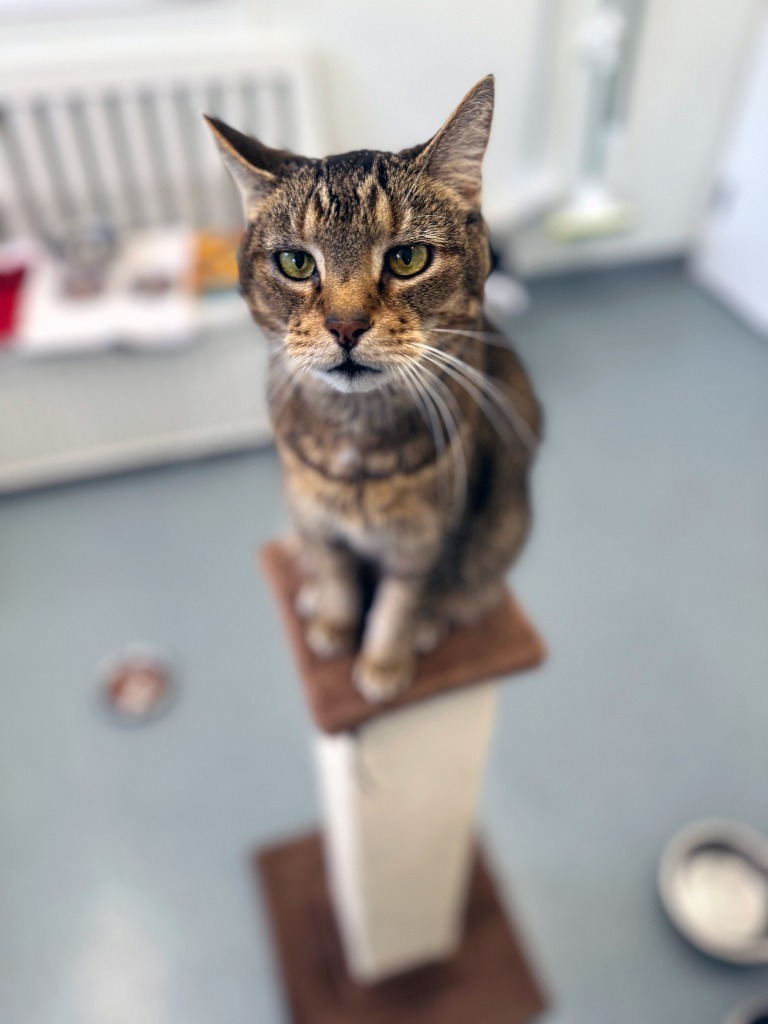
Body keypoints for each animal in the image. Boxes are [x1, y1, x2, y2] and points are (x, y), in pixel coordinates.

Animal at [205, 75, 540, 700]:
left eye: (408, 257)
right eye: (295, 262)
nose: (345, 325)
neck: (355, 442)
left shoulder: (428, 538)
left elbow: (400, 603)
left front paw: (385, 665)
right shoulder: (316, 517)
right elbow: (336, 575)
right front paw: (334, 626)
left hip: (506, 526)